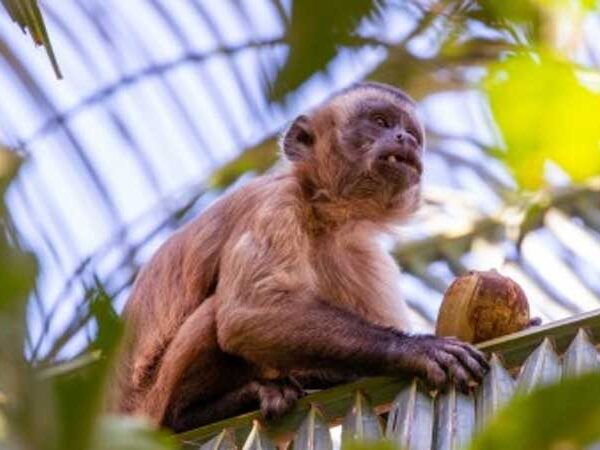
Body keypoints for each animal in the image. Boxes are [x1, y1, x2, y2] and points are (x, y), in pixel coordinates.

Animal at [110, 81, 490, 432]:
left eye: (411, 134)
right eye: (380, 122)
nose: (404, 139)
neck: (321, 215)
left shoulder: (362, 252)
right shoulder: (275, 203)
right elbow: (248, 312)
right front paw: (415, 351)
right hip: (153, 402)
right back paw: (191, 414)